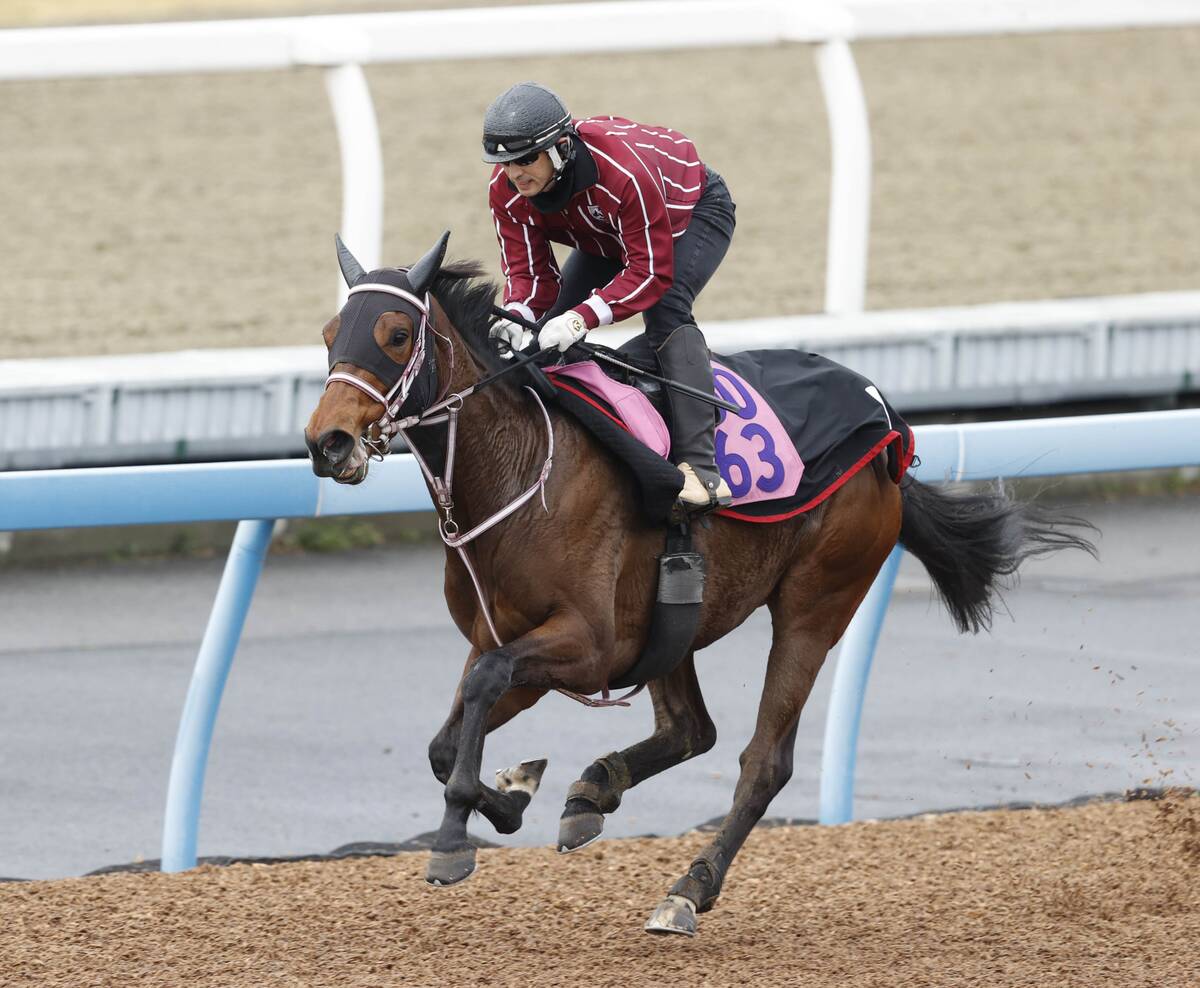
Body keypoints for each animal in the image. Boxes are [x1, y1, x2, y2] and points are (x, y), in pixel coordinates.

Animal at [303, 233, 1095, 937]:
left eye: (397, 333)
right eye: (328, 333)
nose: (327, 442)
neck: (518, 471)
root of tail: (889, 429)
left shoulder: (586, 645)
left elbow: (483, 690)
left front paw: (457, 837)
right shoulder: (509, 637)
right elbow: (452, 732)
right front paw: (512, 794)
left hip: (816, 602)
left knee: (762, 761)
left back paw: (688, 888)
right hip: (673, 622)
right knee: (692, 728)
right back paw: (593, 790)